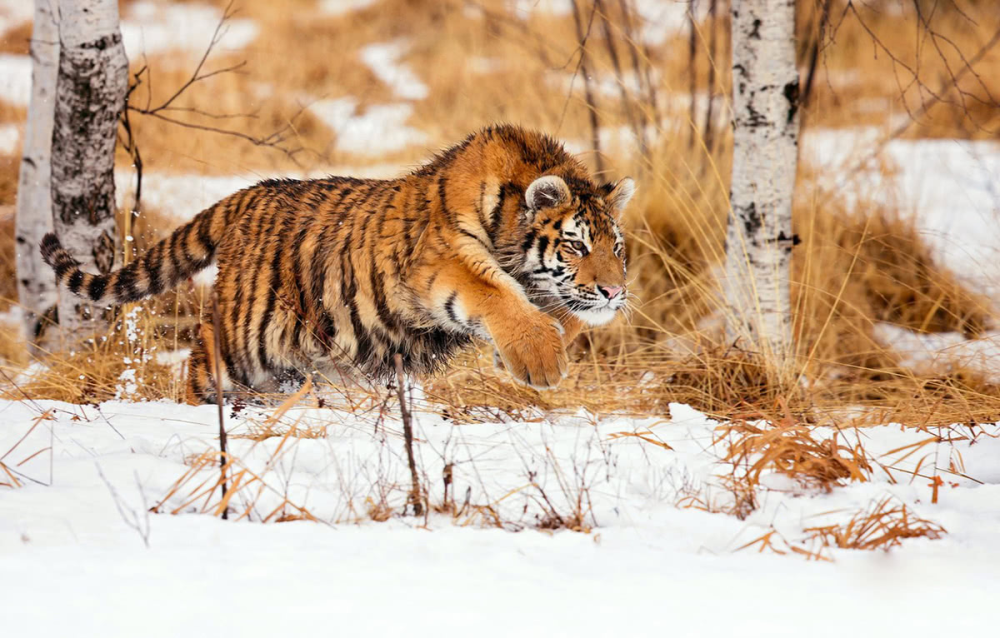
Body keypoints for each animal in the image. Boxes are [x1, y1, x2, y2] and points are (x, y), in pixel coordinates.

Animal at [41, 124, 632, 404]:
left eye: (617, 250)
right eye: (576, 246)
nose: (613, 292)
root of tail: (244, 196)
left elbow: (561, 313)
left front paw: (543, 342)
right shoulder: (441, 263)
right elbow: (494, 291)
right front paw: (541, 362)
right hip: (240, 342)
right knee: (197, 365)